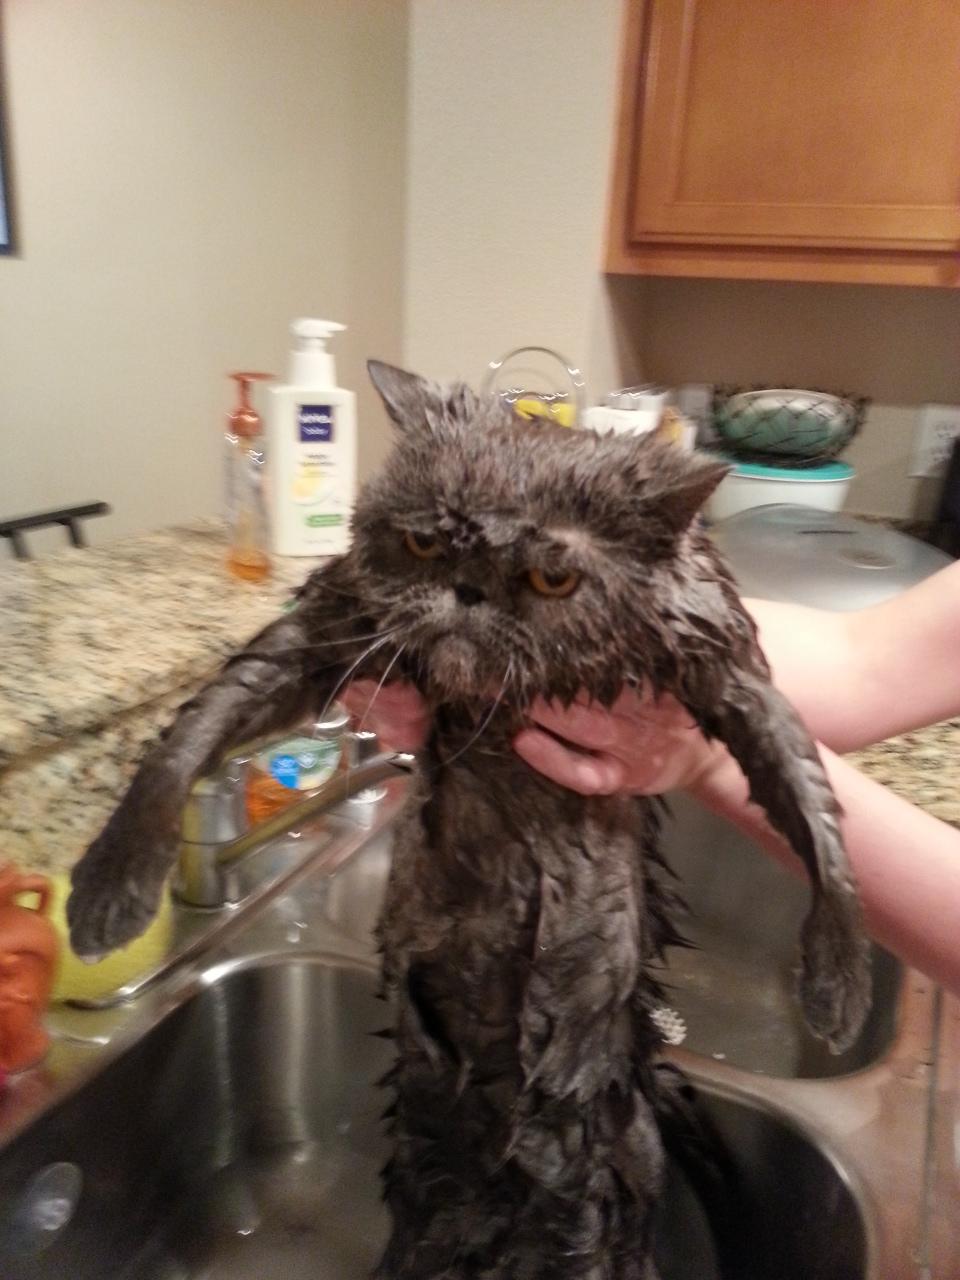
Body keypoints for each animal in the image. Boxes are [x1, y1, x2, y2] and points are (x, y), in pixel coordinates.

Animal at [68, 362, 870, 1278]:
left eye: (553, 579)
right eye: (423, 547)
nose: (470, 591)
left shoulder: (722, 657)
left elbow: (814, 806)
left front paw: (839, 980)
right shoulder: (330, 630)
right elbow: (190, 736)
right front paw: (110, 888)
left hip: (594, 1164)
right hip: (428, 1144)